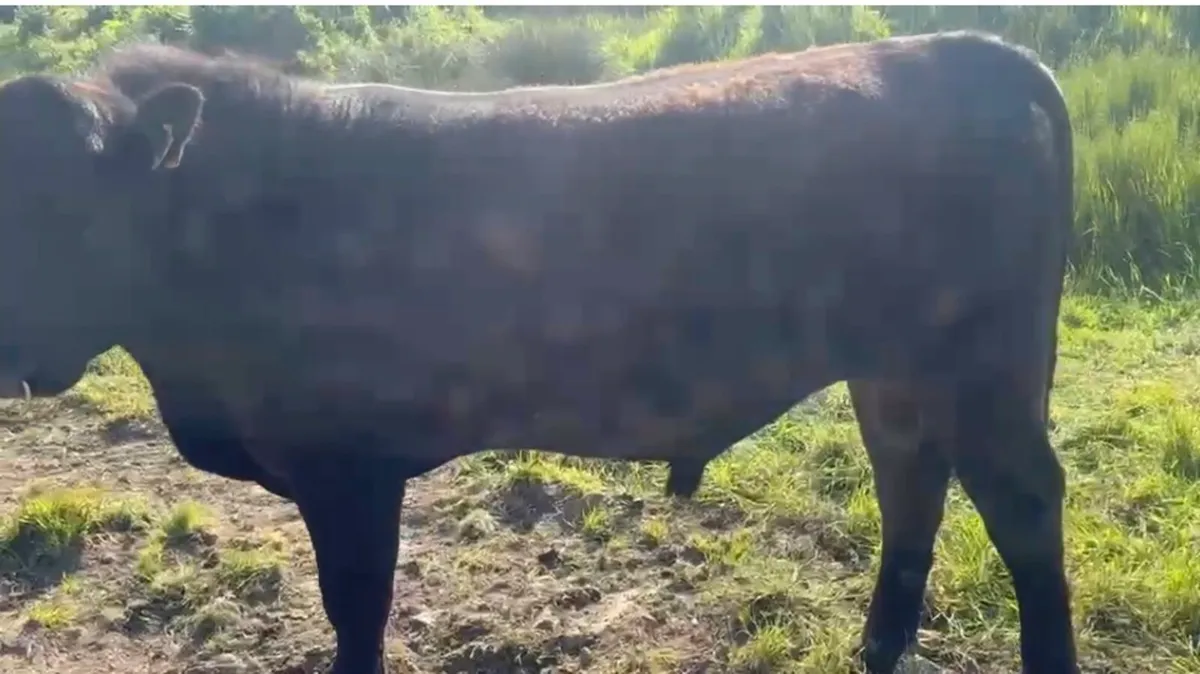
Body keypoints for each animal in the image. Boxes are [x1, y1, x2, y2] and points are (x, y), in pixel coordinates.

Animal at [0, 30, 1076, 674]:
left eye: (69, 207)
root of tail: (954, 45)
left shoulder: (349, 465)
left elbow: (358, 603)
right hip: (896, 372)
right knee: (911, 488)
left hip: (985, 368)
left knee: (1023, 508)